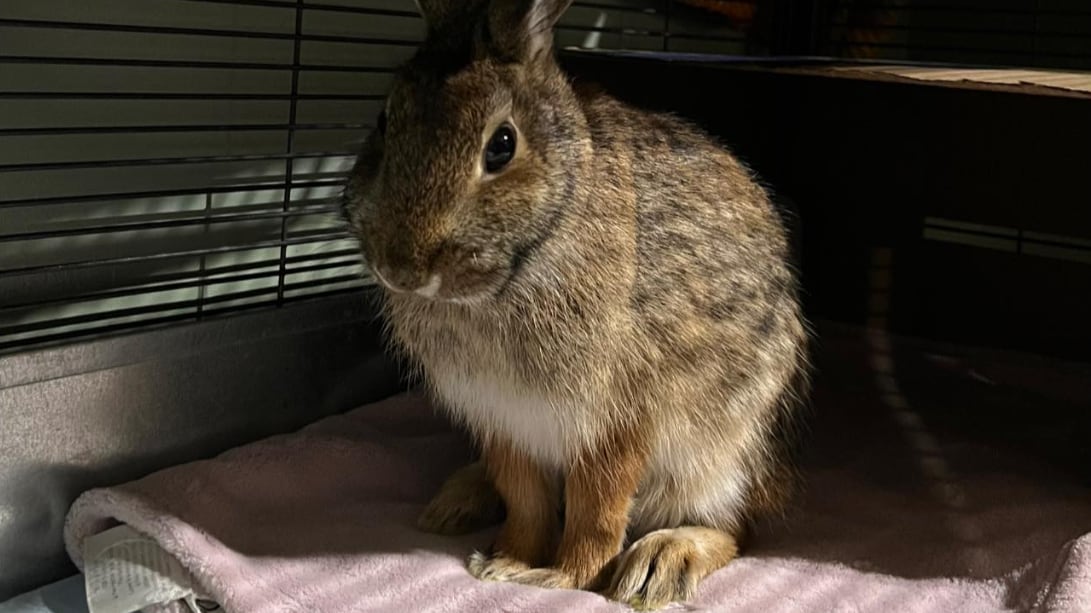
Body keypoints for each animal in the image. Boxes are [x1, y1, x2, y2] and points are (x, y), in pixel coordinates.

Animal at [341, 0, 811, 609]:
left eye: (502, 145)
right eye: (384, 121)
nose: (401, 268)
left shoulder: (617, 419)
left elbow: (596, 510)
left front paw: (562, 578)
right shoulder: (503, 418)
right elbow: (526, 500)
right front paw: (506, 562)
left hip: (725, 452)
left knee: (736, 527)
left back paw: (662, 562)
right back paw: (458, 501)